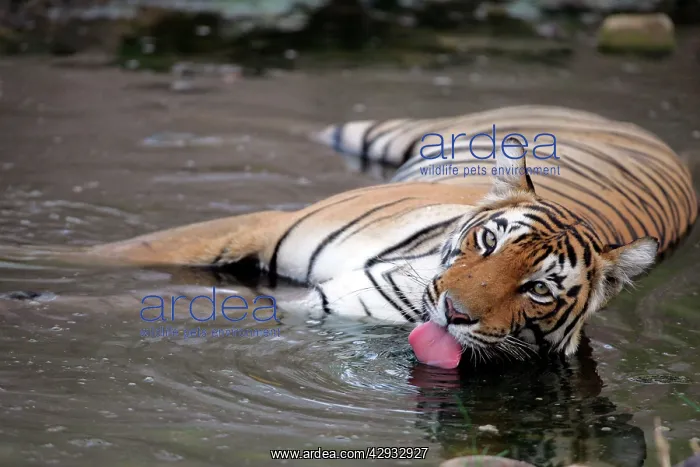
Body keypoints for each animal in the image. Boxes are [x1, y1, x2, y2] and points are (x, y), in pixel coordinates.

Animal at [74, 105, 697, 367]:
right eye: (489, 242)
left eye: (539, 290)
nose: (455, 313)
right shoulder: (265, 225)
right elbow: (106, 257)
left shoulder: (315, 305)